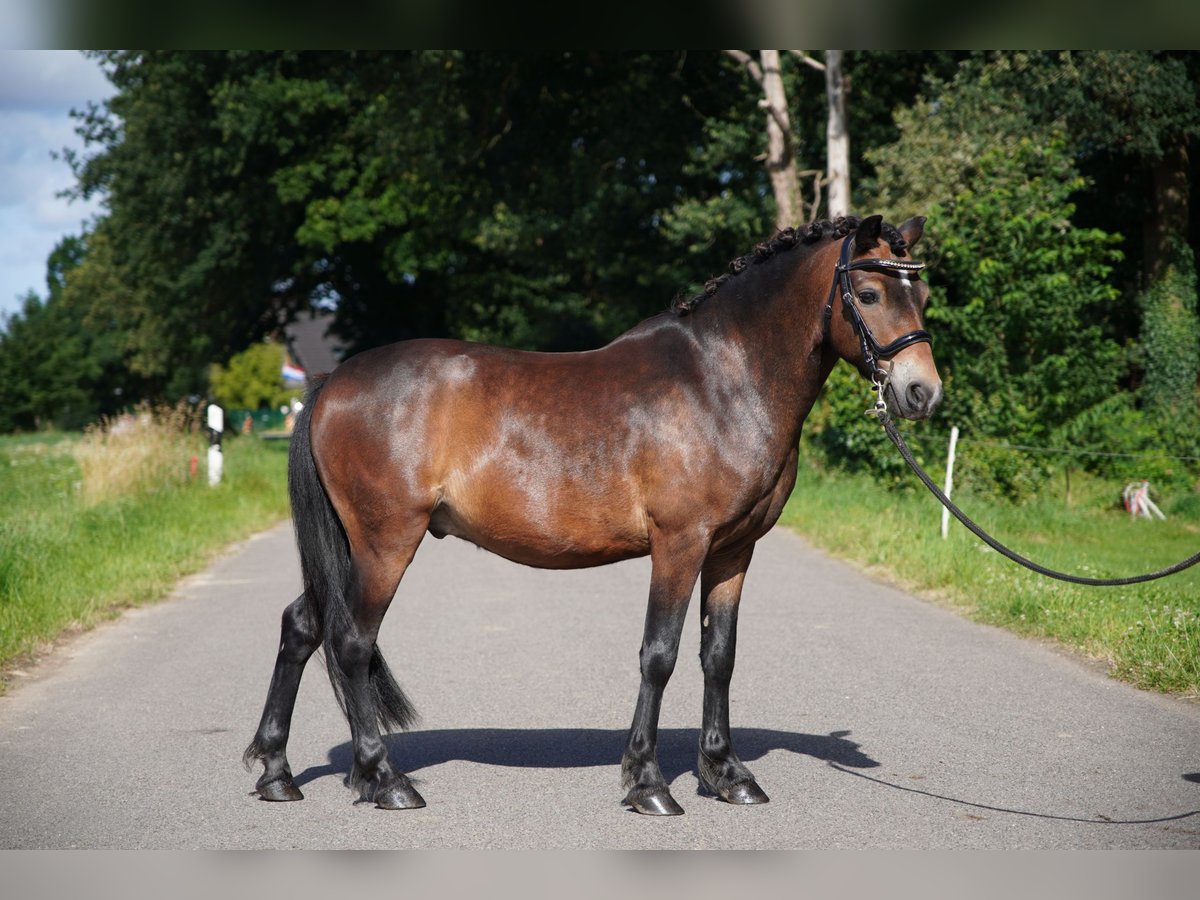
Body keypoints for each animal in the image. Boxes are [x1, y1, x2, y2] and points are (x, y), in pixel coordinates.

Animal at [241, 213, 936, 816]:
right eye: (869, 292)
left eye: (922, 291)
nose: (921, 391)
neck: (722, 382)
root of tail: (331, 382)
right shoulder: (680, 543)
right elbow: (660, 654)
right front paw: (648, 784)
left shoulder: (733, 550)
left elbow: (719, 655)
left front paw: (727, 774)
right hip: (385, 542)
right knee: (352, 641)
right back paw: (386, 780)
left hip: (350, 546)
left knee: (302, 625)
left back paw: (277, 773)